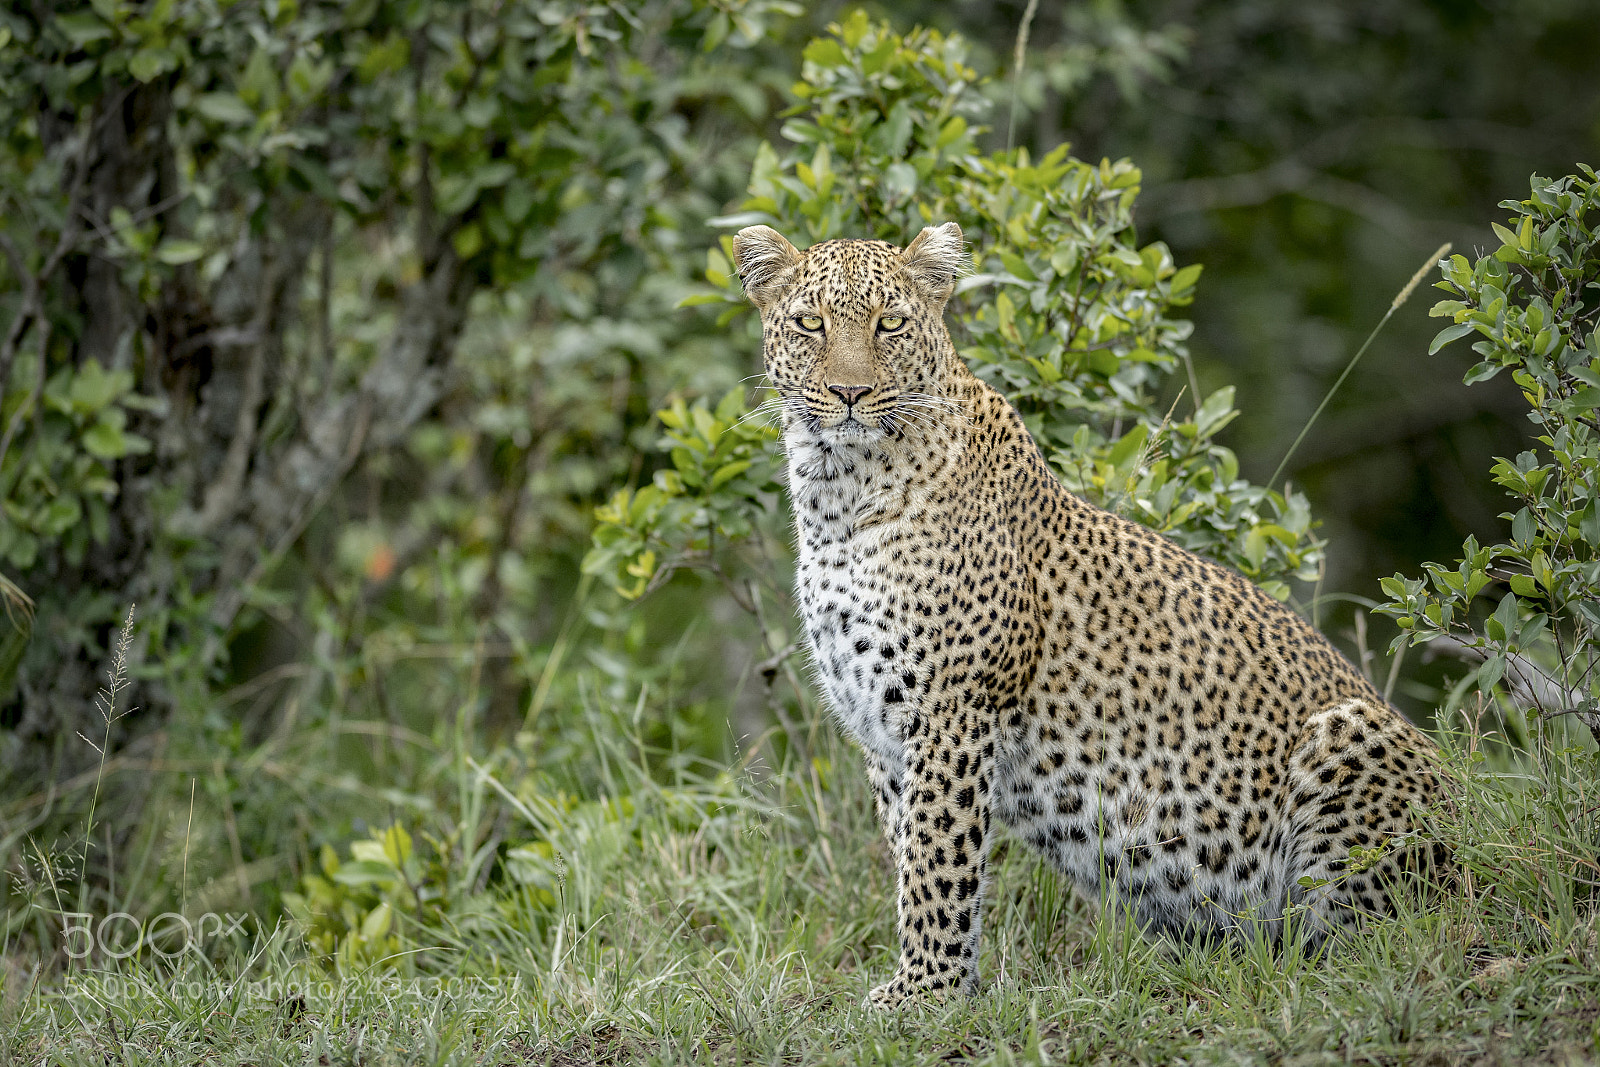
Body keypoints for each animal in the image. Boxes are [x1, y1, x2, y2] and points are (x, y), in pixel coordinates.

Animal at [730, 221, 1441, 1009]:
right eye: (810, 325)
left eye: (890, 324)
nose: (849, 392)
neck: (837, 495)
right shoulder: (882, 727)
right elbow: (911, 848)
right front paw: (939, 981)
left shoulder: (953, 709)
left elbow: (939, 861)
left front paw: (924, 992)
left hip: (1351, 740)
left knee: (1376, 941)